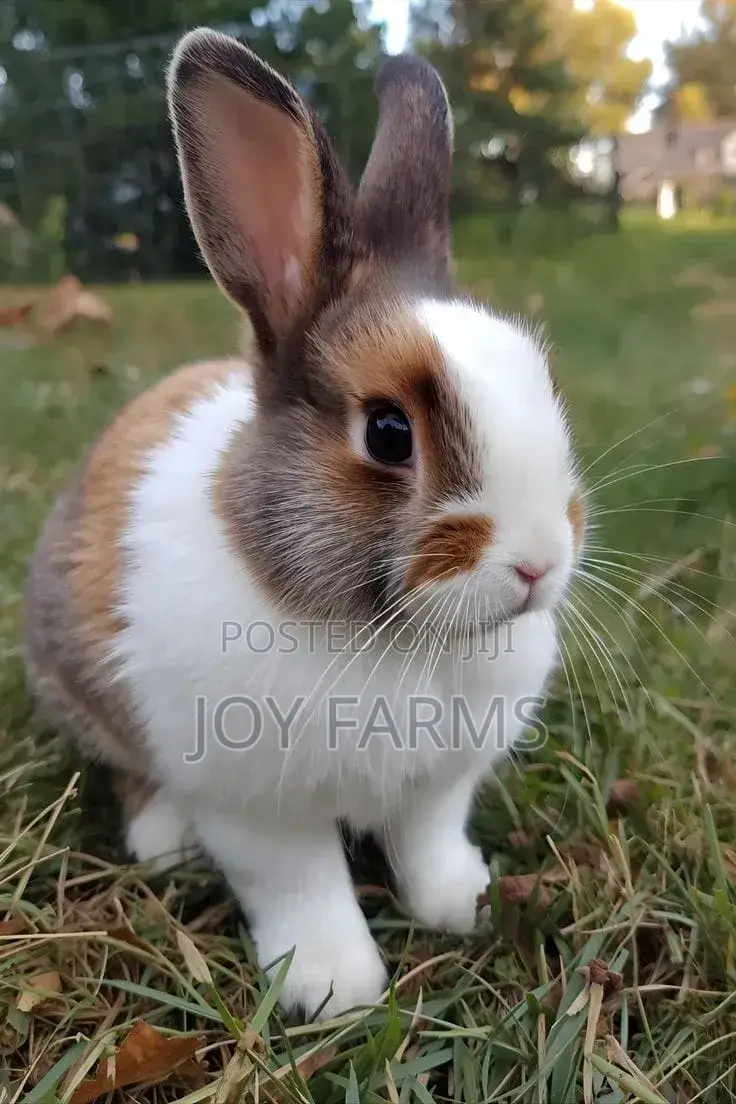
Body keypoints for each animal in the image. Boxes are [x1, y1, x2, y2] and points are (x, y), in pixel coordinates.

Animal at [24, 28, 586, 1020]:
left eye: (542, 378)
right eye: (389, 433)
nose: (538, 564)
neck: (397, 645)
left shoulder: (441, 787)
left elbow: (428, 844)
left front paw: (463, 905)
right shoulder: (257, 811)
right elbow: (303, 885)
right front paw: (336, 989)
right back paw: (165, 840)